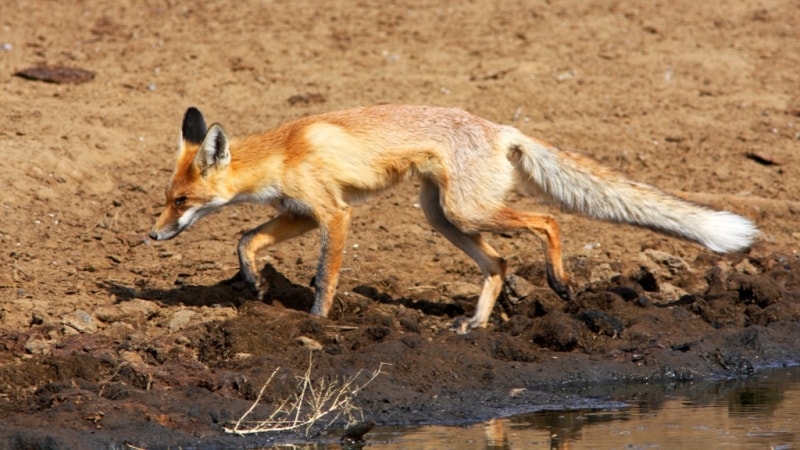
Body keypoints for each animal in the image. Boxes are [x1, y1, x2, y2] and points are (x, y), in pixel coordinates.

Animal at [148, 103, 756, 332]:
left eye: (181, 201)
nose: (153, 234)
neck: (284, 152)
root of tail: (501, 128)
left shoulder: (334, 214)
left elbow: (325, 276)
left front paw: (317, 323)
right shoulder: (300, 213)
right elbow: (246, 240)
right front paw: (253, 284)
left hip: (467, 210)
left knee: (548, 223)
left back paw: (559, 281)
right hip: (444, 218)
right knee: (501, 263)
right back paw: (478, 322)